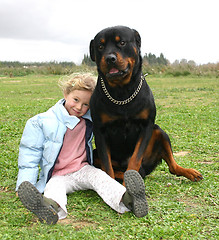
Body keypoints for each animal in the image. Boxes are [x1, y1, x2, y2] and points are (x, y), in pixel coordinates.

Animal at [89, 26, 204, 184]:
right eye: (100, 46)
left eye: (122, 43)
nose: (109, 58)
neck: (122, 92)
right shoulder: (100, 131)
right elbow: (107, 167)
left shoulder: (146, 126)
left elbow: (135, 159)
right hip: (94, 155)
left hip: (159, 132)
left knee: (171, 167)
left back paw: (189, 172)